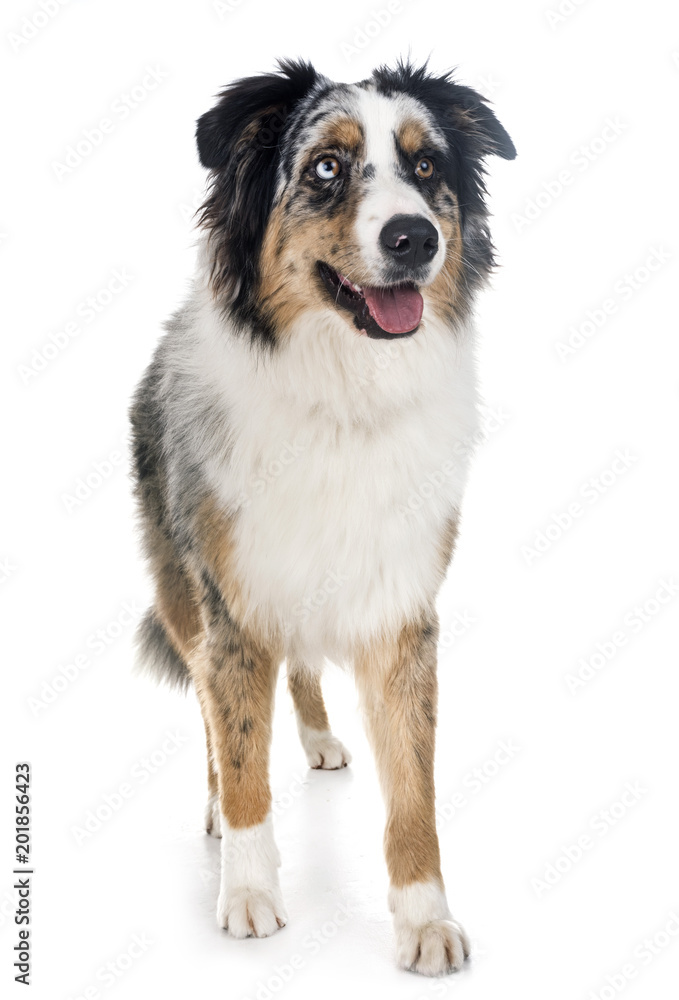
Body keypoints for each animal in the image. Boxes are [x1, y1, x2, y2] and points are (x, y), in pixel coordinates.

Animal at [130, 60, 516, 976]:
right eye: (326, 168)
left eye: (425, 166)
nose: (415, 238)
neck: (345, 391)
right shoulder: (230, 605)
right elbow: (239, 749)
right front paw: (247, 892)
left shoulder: (402, 607)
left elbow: (413, 787)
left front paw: (424, 919)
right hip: (177, 592)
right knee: (210, 714)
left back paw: (316, 738)